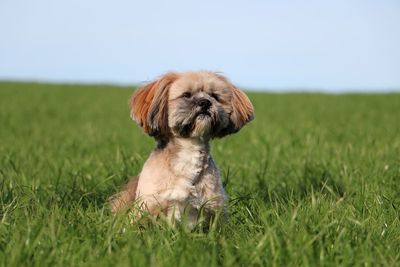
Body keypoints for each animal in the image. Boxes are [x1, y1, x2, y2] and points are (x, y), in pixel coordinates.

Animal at [109, 71, 253, 226]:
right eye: (186, 95)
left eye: (214, 96)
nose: (205, 102)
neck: (189, 149)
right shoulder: (148, 206)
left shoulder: (214, 211)